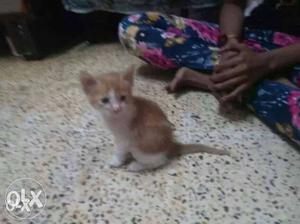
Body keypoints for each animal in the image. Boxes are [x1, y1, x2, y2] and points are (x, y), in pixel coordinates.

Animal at [79, 66, 230, 172]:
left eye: (122, 98)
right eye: (104, 100)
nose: (116, 108)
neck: (116, 117)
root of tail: (171, 144)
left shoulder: (125, 138)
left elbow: (120, 150)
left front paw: (116, 161)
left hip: (140, 145)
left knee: (160, 161)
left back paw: (136, 166)